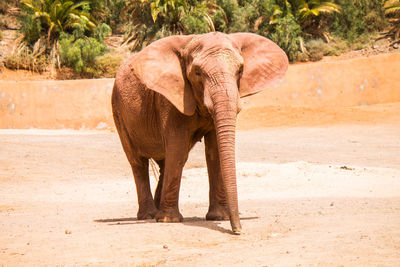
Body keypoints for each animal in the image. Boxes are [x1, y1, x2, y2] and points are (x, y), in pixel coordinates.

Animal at [111, 32, 288, 236]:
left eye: (240, 70)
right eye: (197, 73)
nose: (238, 231)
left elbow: (214, 152)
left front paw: (219, 217)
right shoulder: (171, 99)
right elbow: (178, 151)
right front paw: (169, 220)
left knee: (164, 162)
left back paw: (156, 211)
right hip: (119, 112)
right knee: (138, 162)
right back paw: (149, 215)